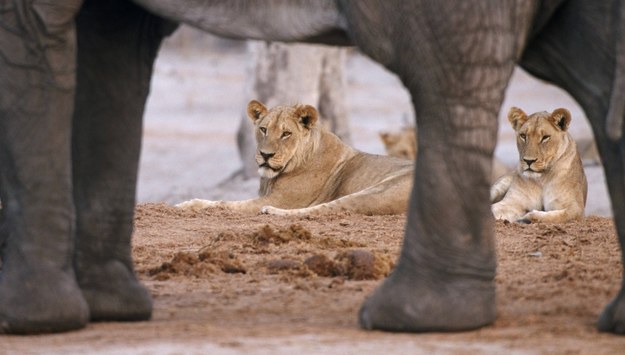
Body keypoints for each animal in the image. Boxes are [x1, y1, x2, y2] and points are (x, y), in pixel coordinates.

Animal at [173, 101, 412, 217]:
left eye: (286, 134)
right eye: (263, 129)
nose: (266, 155)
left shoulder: (280, 198)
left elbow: (224, 203)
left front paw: (187, 204)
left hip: (377, 191)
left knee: (329, 209)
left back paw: (270, 212)